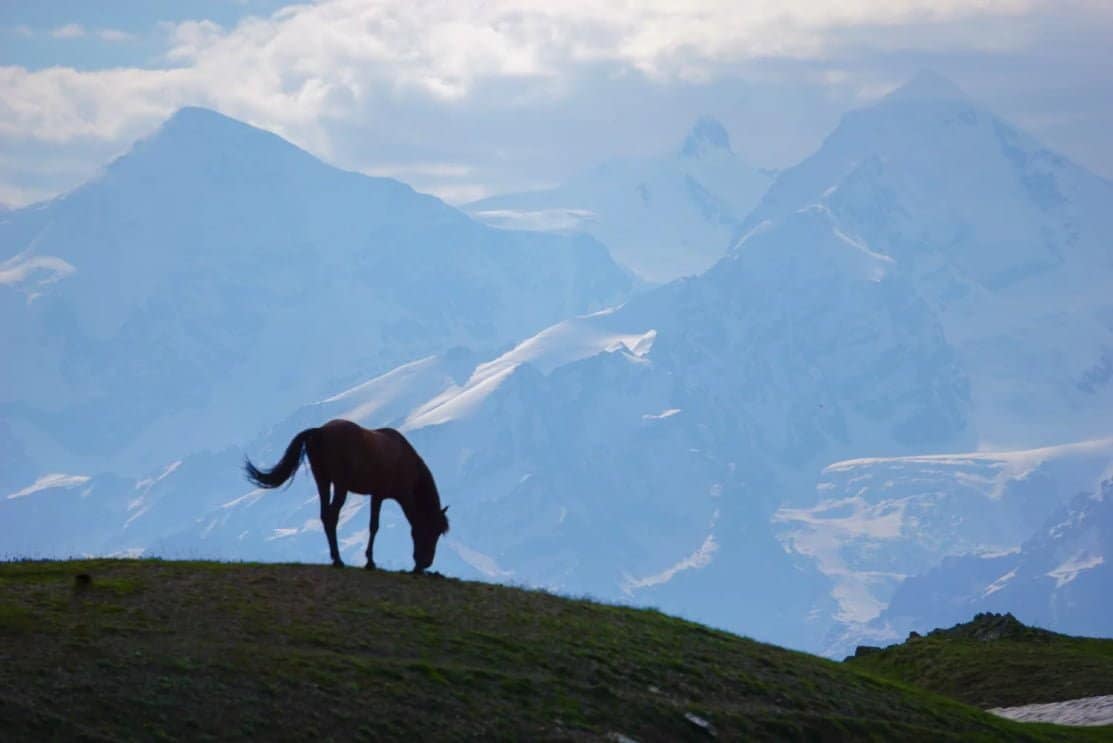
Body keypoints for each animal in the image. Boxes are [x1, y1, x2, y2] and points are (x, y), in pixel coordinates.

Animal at [243, 419, 449, 573]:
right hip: (340, 486)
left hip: (323, 481)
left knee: (325, 515)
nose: (426, 563)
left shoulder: (377, 496)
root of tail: (320, 431)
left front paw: (370, 561)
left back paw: (335, 558)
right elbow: (379, 526)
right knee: (332, 516)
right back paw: (338, 560)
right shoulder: (396, 496)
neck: (407, 461)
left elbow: (374, 526)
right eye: (433, 531)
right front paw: (370, 562)